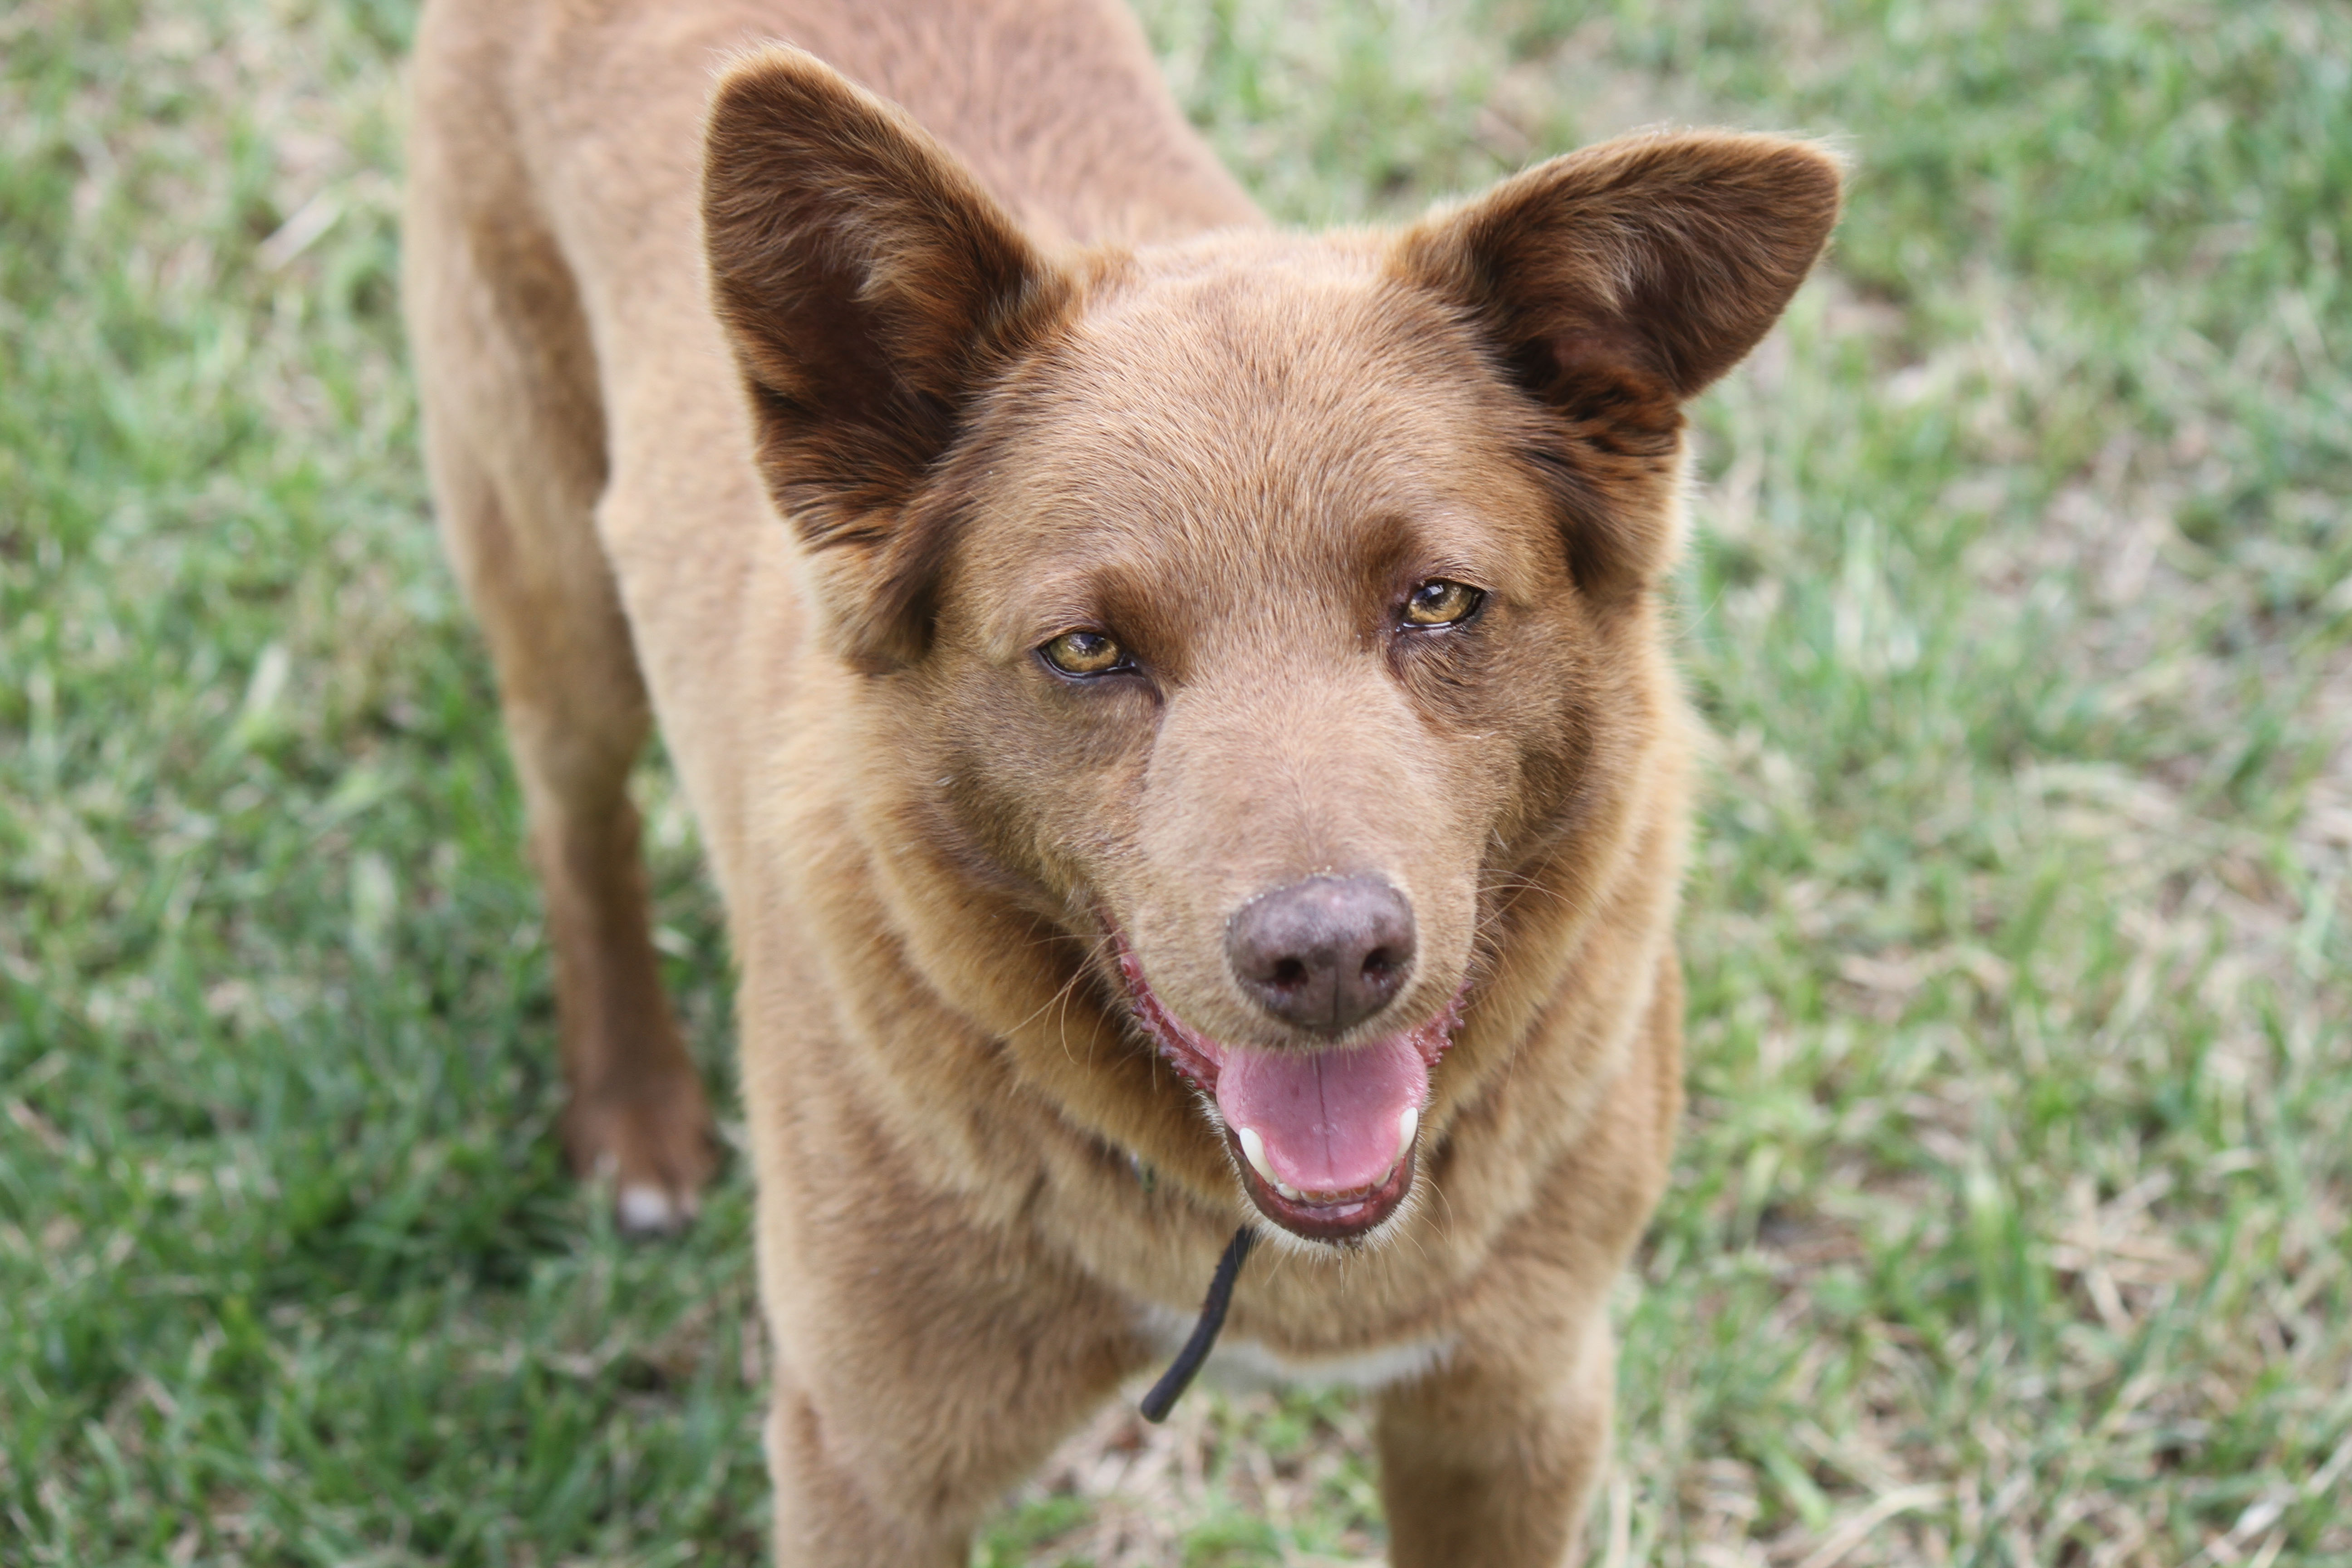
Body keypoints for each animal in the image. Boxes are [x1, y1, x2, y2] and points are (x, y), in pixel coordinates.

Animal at [402, 1, 1839, 1558]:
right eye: (1087, 650)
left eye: (1439, 602)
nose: (1332, 959)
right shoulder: (868, 1461)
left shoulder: (1517, 1409)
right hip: (550, 557)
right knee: (575, 816)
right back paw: (634, 1117)